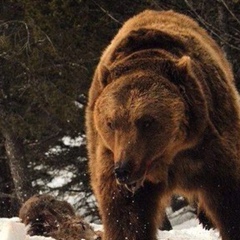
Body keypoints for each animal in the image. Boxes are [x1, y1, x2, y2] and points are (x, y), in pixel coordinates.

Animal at [86, 8, 240, 239]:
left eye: (147, 121)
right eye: (111, 122)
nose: (123, 169)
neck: (168, 154)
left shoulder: (211, 144)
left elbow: (229, 197)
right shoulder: (110, 157)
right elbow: (126, 216)